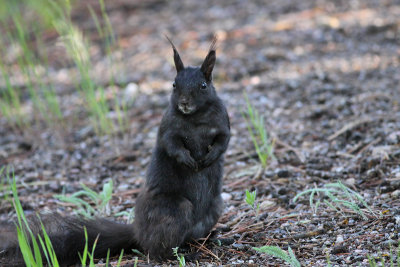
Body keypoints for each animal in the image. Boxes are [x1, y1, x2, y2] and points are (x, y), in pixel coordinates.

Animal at [0, 36, 230, 266]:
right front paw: (188, 160)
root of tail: (138, 233)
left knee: (190, 236)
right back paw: (184, 253)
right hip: (175, 211)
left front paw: (210, 157)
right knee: (158, 249)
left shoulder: (223, 123)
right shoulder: (168, 128)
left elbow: (223, 141)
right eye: (174, 84)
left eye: (203, 86)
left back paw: (211, 238)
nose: (184, 103)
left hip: (216, 206)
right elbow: (172, 145)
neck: (195, 118)